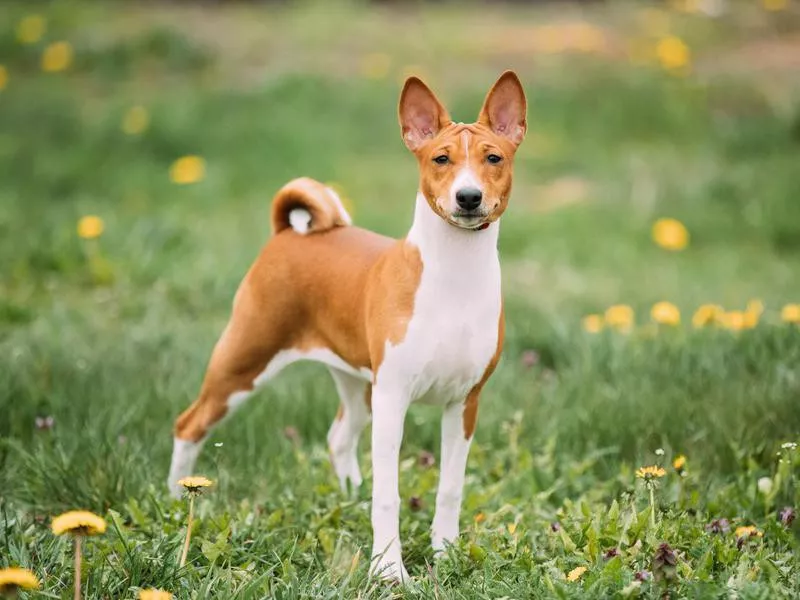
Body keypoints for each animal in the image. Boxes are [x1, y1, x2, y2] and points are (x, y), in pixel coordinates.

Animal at [166, 71, 528, 580]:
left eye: (493, 158)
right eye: (441, 158)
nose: (468, 197)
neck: (453, 276)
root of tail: (289, 233)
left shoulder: (464, 403)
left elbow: (450, 489)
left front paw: (446, 554)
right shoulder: (394, 397)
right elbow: (389, 495)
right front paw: (389, 570)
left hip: (357, 384)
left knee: (339, 437)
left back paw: (350, 497)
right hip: (243, 362)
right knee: (189, 424)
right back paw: (175, 501)